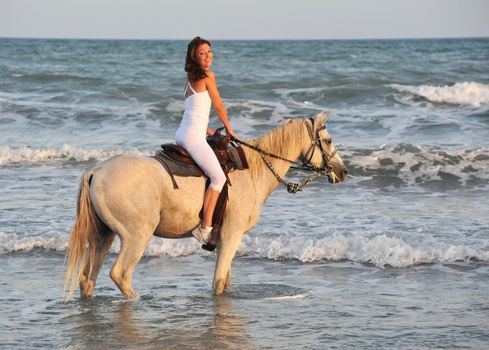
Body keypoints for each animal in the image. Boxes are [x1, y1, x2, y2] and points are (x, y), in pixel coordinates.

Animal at [63, 112, 346, 300]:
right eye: (328, 140)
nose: (343, 172)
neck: (252, 170)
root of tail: (97, 171)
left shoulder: (226, 239)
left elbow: (226, 281)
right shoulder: (231, 235)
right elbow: (219, 282)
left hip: (104, 235)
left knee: (87, 279)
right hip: (136, 236)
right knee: (120, 274)